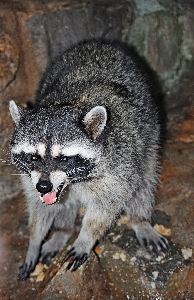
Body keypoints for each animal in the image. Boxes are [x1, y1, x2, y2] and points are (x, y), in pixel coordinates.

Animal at [8, 41, 167, 280]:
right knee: (65, 204)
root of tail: (99, 42)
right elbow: (39, 206)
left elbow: (107, 205)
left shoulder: (120, 162)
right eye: (34, 157)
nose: (44, 186)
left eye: (64, 158)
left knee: (145, 179)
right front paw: (34, 241)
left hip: (149, 130)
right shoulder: (31, 178)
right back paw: (62, 232)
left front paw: (86, 237)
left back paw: (140, 220)